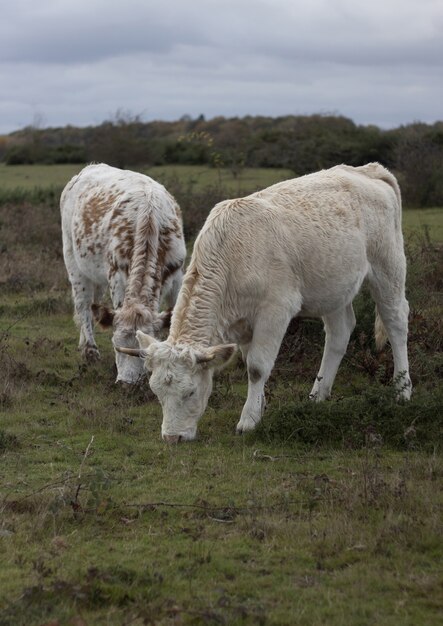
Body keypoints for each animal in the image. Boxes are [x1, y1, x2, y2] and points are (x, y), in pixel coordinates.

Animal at [60, 163, 186, 382]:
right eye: (115, 345)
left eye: (146, 352)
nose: (128, 383)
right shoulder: (117, 275)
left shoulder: (177, 275)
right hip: (73, 261)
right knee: (83, 305)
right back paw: (90, 350)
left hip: (96, 274)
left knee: (93, 304)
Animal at [117, 163, 412, 442]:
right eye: (156, 391)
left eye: (190, 392)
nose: (171, 437)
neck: (232, 253)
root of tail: (367, 170)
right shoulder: (243, 322)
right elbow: (249, 361)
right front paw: (259, 407)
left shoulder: (275, 309)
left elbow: (257, 367)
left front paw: (248, 421)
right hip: (333, 286)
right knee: (340, 333)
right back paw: (317, 396)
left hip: (388, 267)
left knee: (396, 322)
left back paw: (403, 390)